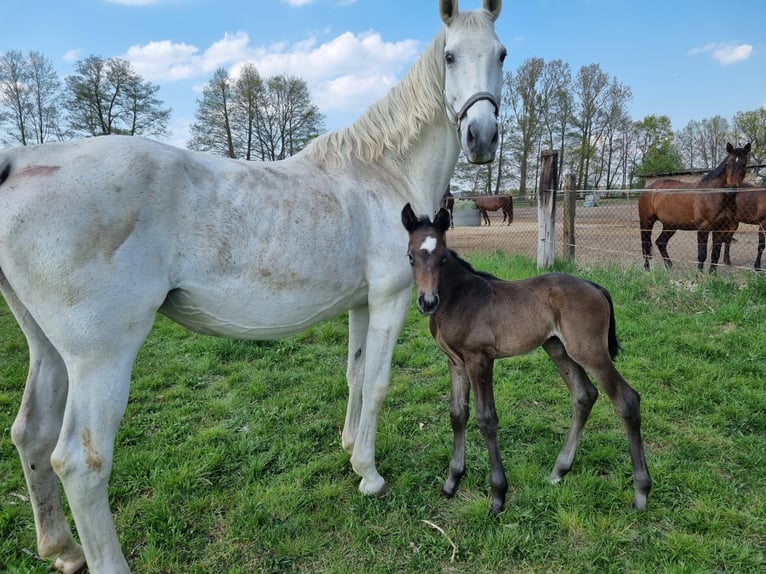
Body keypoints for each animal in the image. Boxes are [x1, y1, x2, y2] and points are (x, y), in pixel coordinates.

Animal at [1, 2, 510, 572]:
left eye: (501, 54)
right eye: (450, 56)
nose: (482, 137)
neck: (382, 173)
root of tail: (19, 163)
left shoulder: (360, 305)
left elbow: (355, 377)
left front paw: (349, 450)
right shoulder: (391, 300)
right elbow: (378, 384)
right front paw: (370, 474)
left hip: (48, 349)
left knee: (31, 435)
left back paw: (62, 549)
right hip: (100, 357)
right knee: (80, 463)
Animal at [402, 204, 656, 516]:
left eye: (443, 257)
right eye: (410, 256)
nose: (427, 302)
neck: (457, 299)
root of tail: (594, 286)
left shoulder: (479, 359)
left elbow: (486, 419)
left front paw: (498, 495)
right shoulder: (455, 362)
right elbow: (457, 414)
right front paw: (452, 482)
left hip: (589, 351)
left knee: (626, 400)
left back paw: (641, 492)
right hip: (557, 347)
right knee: (584, 395)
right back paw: (559, 471)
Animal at [640, 141, 752, 272]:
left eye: (744, 164)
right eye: (728, 163)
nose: (731, 189)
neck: (713, 194)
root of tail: (648, 189)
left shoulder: (720, 228)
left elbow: (715, 254)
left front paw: (712, 274)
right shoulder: (703, 227)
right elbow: (702, 254)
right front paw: (700, 274)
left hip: (670, 225)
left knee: (660, 242)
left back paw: (669, 266)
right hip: (647, 221)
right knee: (646, 244)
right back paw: (647, 268)